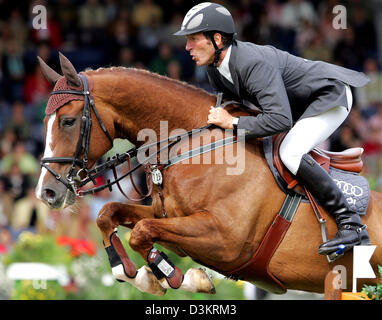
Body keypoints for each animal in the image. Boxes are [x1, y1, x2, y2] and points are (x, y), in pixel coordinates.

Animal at [35, 53, 382, 296]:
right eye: (45, 122)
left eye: (67, 121)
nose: (47, 193)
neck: (190, 144)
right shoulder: (168, 215)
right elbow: (109, 214)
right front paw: (135, 273)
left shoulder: (225, 240)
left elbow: (142, 232)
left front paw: (176, 277)